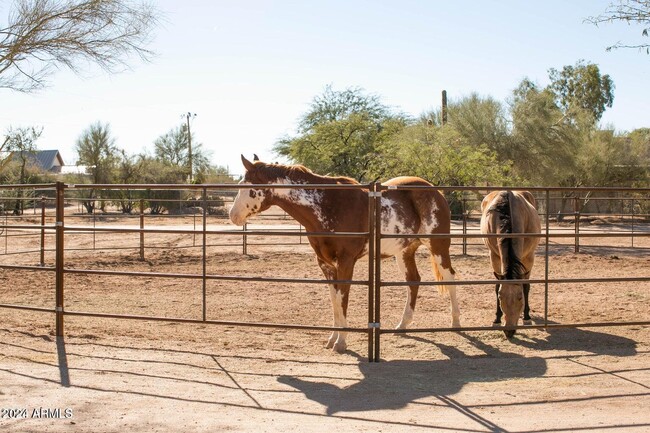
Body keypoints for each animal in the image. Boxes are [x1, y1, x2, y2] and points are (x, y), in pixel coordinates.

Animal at [230, 155, 458, 352]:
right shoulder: (326, 265)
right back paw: (402, 325)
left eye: (248, 188)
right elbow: (335, 302)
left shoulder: (346, 262)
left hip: (438, 246)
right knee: (413, 280)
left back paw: (456, 323)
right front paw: (332, 339)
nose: (232, 216)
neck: (327, 204)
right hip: (404, 251)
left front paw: (341, 342)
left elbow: (343, 299)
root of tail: (435, 192)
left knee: (450, 277)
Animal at [478, 190, 540, 338]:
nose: (509, 331)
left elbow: (526, 286)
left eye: (520, 298)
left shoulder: (529, 257)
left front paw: (527, 317)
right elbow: (496, 285)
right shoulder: (494, 256)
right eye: (501, 297)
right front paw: (497, 319)